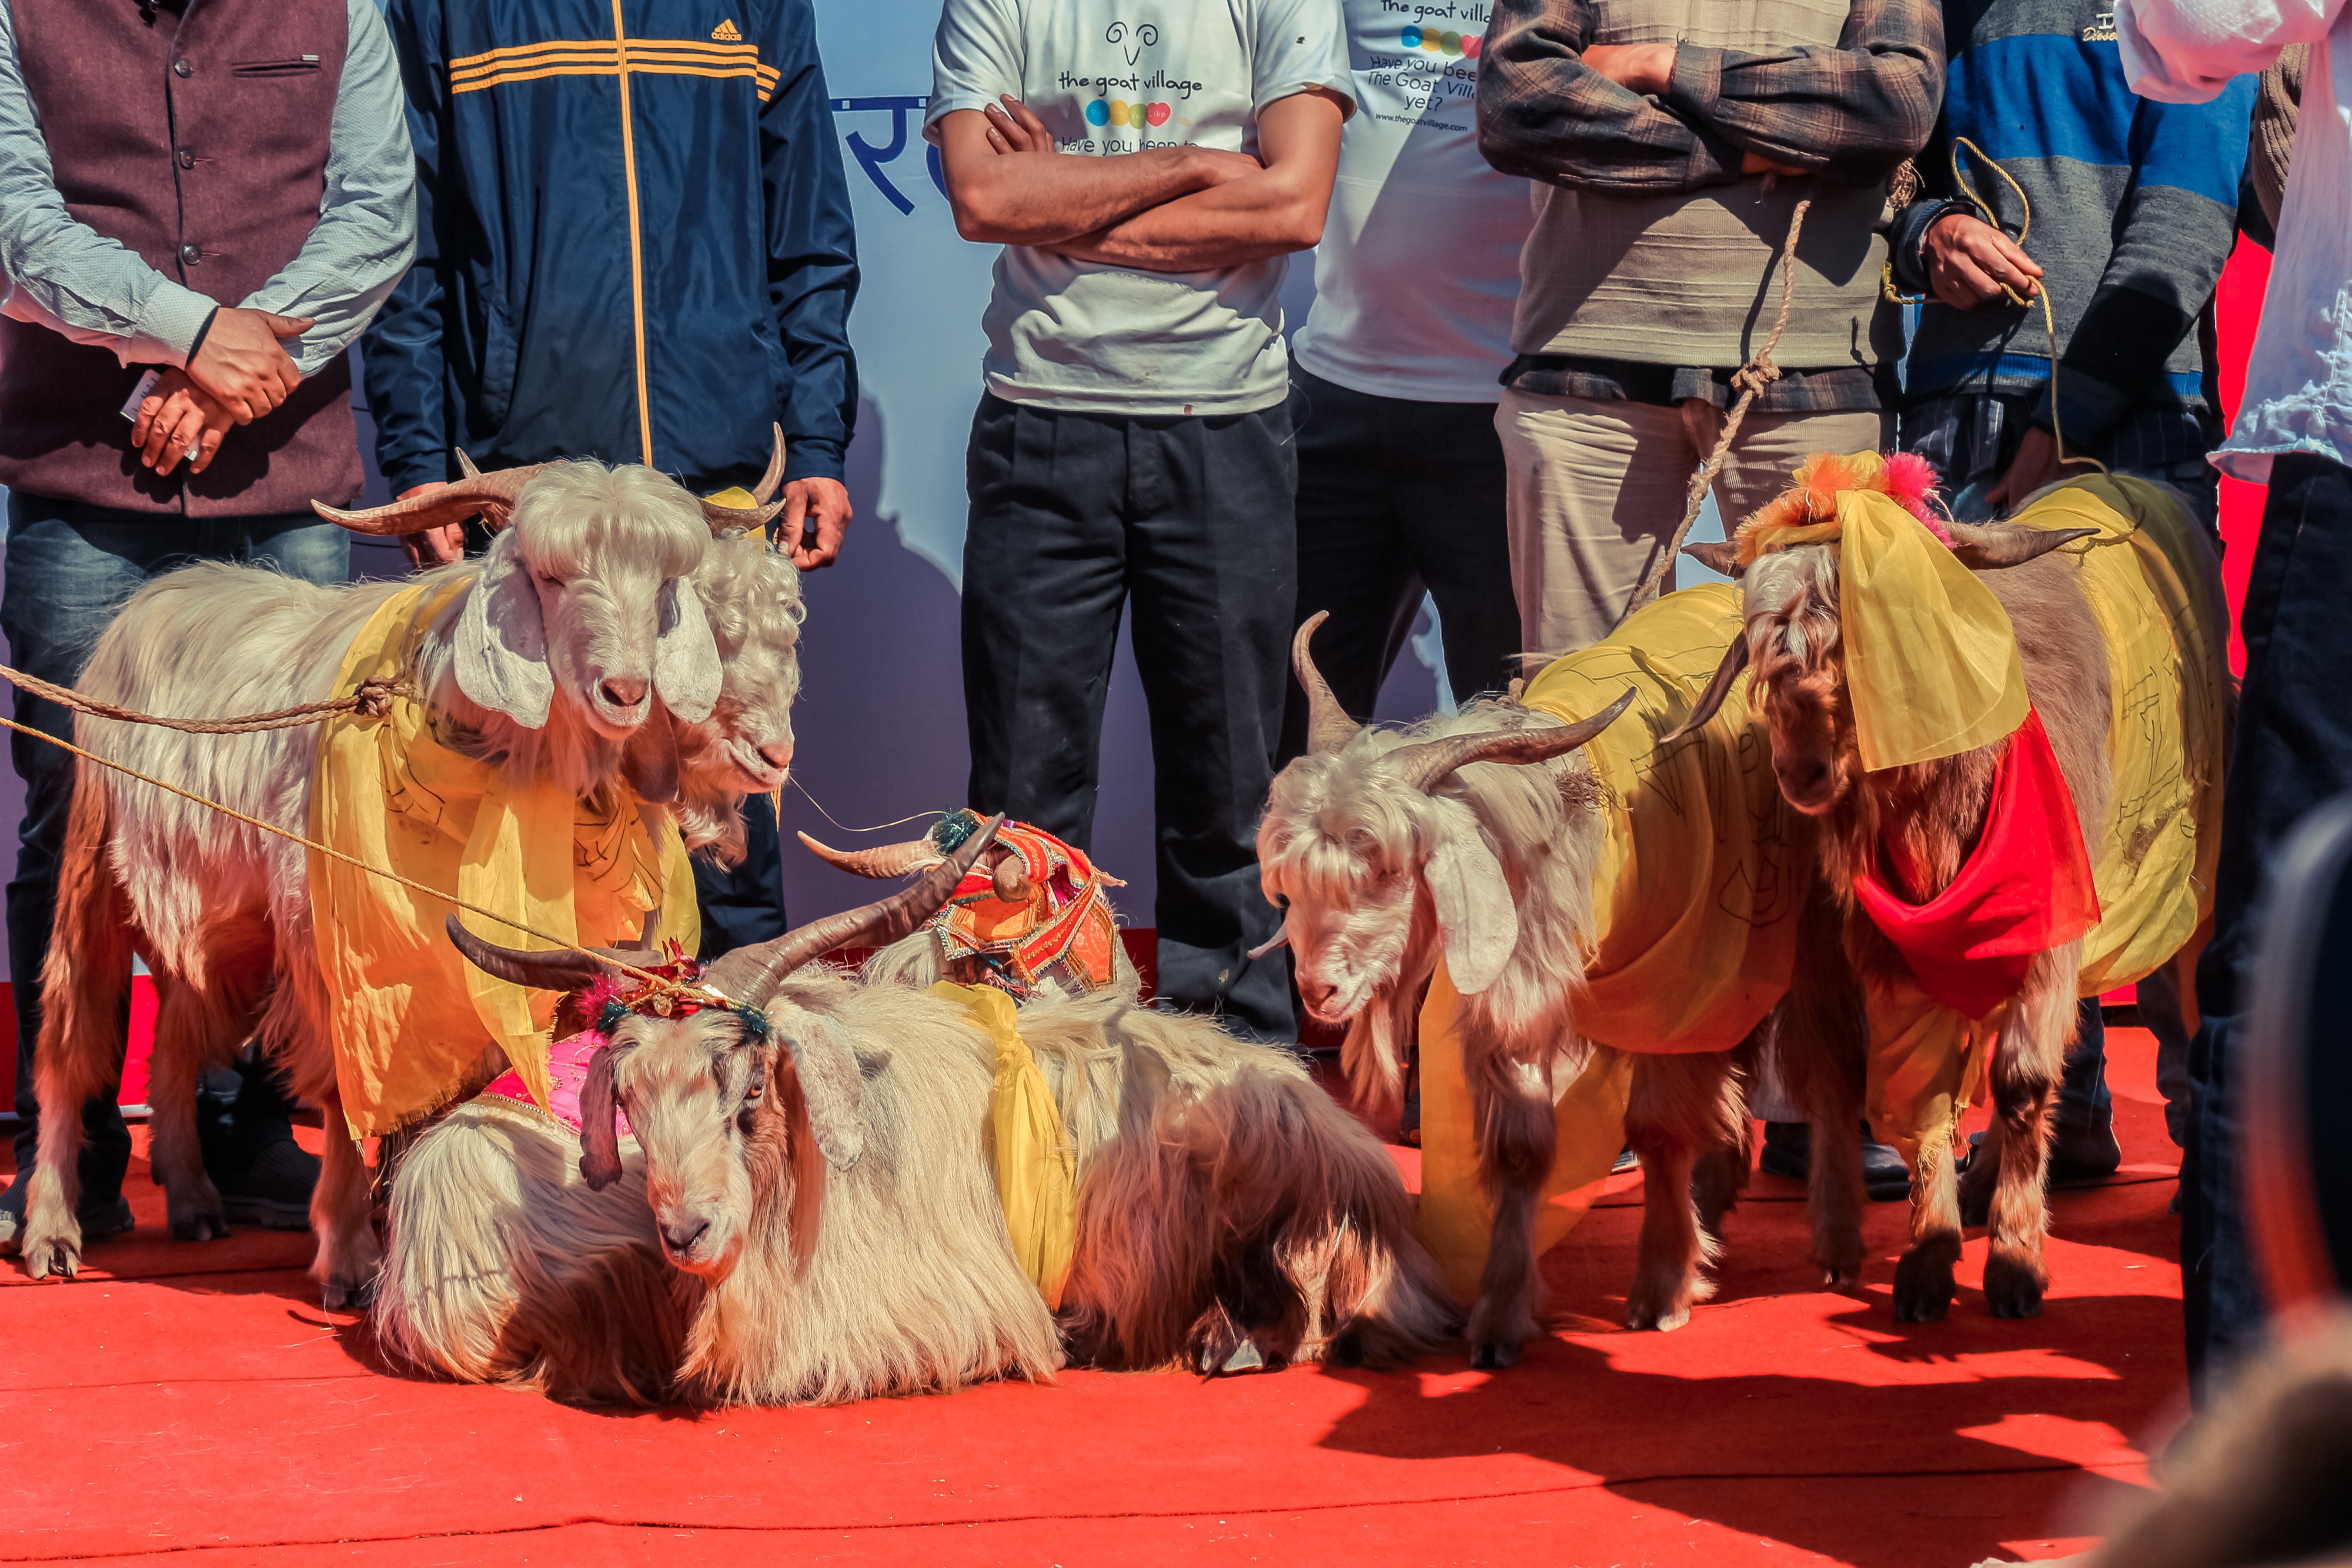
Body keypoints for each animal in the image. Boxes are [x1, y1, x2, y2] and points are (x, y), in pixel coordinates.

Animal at [11, 446, 790, 1307]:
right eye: (551, 575)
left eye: (662, 588)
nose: (625, 692)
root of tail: (157, 594)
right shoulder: (341, 956)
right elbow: (349, 1092)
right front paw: (351, 1256)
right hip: (91, 870)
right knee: (70, 1039)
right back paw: (52, 1228)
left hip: (221, 918)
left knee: (178, 1031)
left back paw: (193, 1202)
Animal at [1261, 606, 1863, 1363]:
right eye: (1293, 883)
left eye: (1388, 870)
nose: (1317, 994)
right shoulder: (1515, 1006)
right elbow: (1519, 1153)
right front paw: (1498, 1319)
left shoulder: (1678, 986)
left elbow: (1658, 1130)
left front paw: (1662, 1288)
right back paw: (1719, 1198)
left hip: (1810, 935)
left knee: (1828, 1065)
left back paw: (1836, 1244)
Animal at [1684, 465, 2211, 1326]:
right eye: (1762, 645)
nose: (1800, 770)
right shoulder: (1894, 951)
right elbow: (1920, 1094)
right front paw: (1930, 1258)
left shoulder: (2049, 931)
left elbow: (2023, 1080)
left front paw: (2016, 1261)